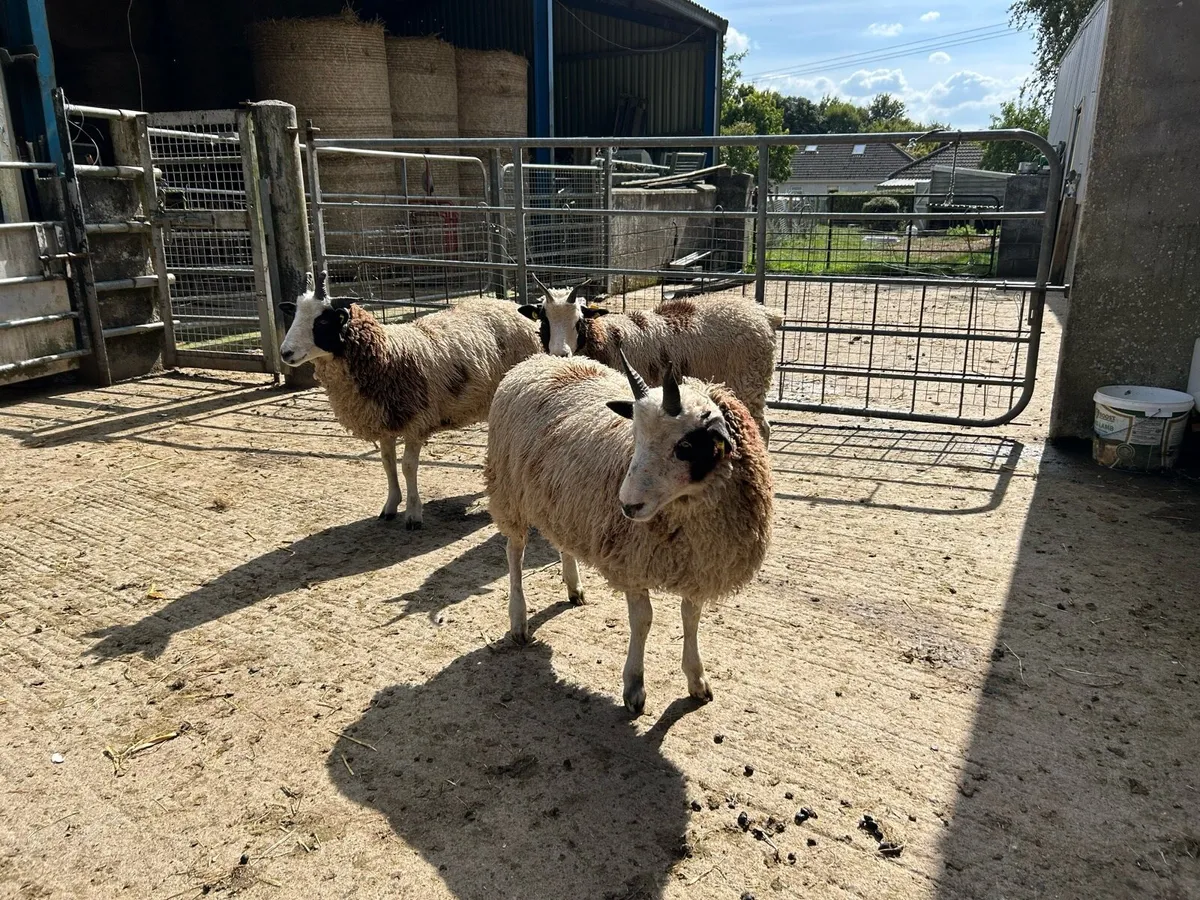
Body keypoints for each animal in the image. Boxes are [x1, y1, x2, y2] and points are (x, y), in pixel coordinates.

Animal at [279, 271, 541, 528]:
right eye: (295, 314)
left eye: (322, 321)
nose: (285, 353)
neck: (387, 355)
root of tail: (510, 305)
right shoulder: (384, 422)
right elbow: (388, 463)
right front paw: (390, 505)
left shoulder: (417, 422)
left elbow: (407, 467)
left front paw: (414, 513)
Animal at [484, 348, 773, 713]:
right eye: (635, 437)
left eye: (685, 447)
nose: (627, 506)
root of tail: (538, 359)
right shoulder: (632, 563)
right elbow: (643, 621)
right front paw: (634, 686)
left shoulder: (698, 565)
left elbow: (691, 617)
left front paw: (697, 679)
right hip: (509, 492)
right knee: (514, 552)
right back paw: (519, 620)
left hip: (563, 502)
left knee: (563, 541)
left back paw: (573, 588)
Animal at [517, 279, 781, 441]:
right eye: (544, 321)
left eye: (579, 322)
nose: (559, 353)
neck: (607, 337)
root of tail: (762, 312)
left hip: (750, 383)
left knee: (763, 428)